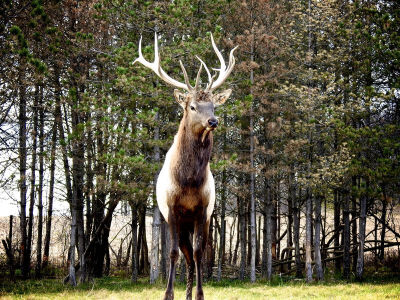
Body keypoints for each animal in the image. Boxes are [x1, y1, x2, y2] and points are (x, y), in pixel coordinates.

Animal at [133, 33, 236, 300]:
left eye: (213, 105)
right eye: (192, 106)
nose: (213, 120)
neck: (189, 181)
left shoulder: (203, 211)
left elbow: (200, 254)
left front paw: (199, 294)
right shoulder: (171, 211)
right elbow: (171, 254)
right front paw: (168, 294)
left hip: (200, 223)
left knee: (192, 257)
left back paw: (189, 294)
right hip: (180, 225)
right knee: (184, 255)